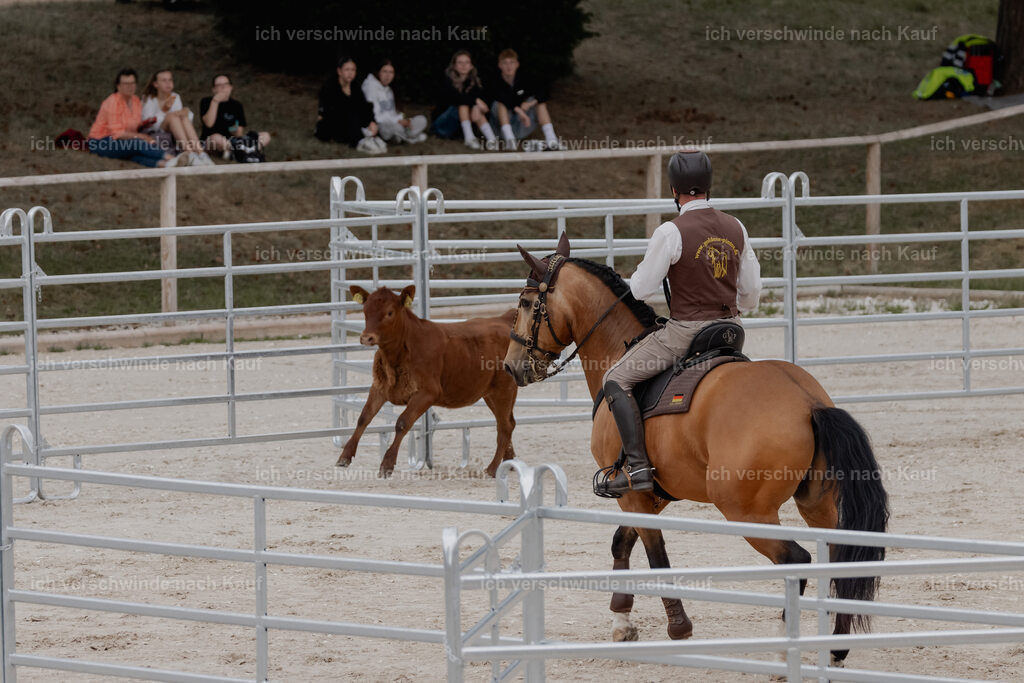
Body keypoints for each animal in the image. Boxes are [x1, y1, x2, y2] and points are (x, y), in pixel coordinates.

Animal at [336, 285, 518, 477]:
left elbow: (402, 423)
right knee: (507, 423)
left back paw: (492, 469)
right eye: (365, 310)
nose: (366, 337)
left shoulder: (428, 393)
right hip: (490, 392)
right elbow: (364, 417)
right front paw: (345, 456)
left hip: (504, 388)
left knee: (505, 426)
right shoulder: (380, 388)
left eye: (389, 312)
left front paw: (387, 464)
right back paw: (509, 463)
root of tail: (503, 319)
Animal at [503, 234, 889, 665]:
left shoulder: (634, 496)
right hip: (817, 504)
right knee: (839, 555)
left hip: (746, 512)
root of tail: (808, 403)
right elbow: (622, 541)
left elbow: (656, 558)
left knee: (797, 561)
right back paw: (835, 648)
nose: (511, 366)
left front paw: (679, 628)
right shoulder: (649, 495)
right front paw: (621, 620)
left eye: (524, 302)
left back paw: (783, 650)